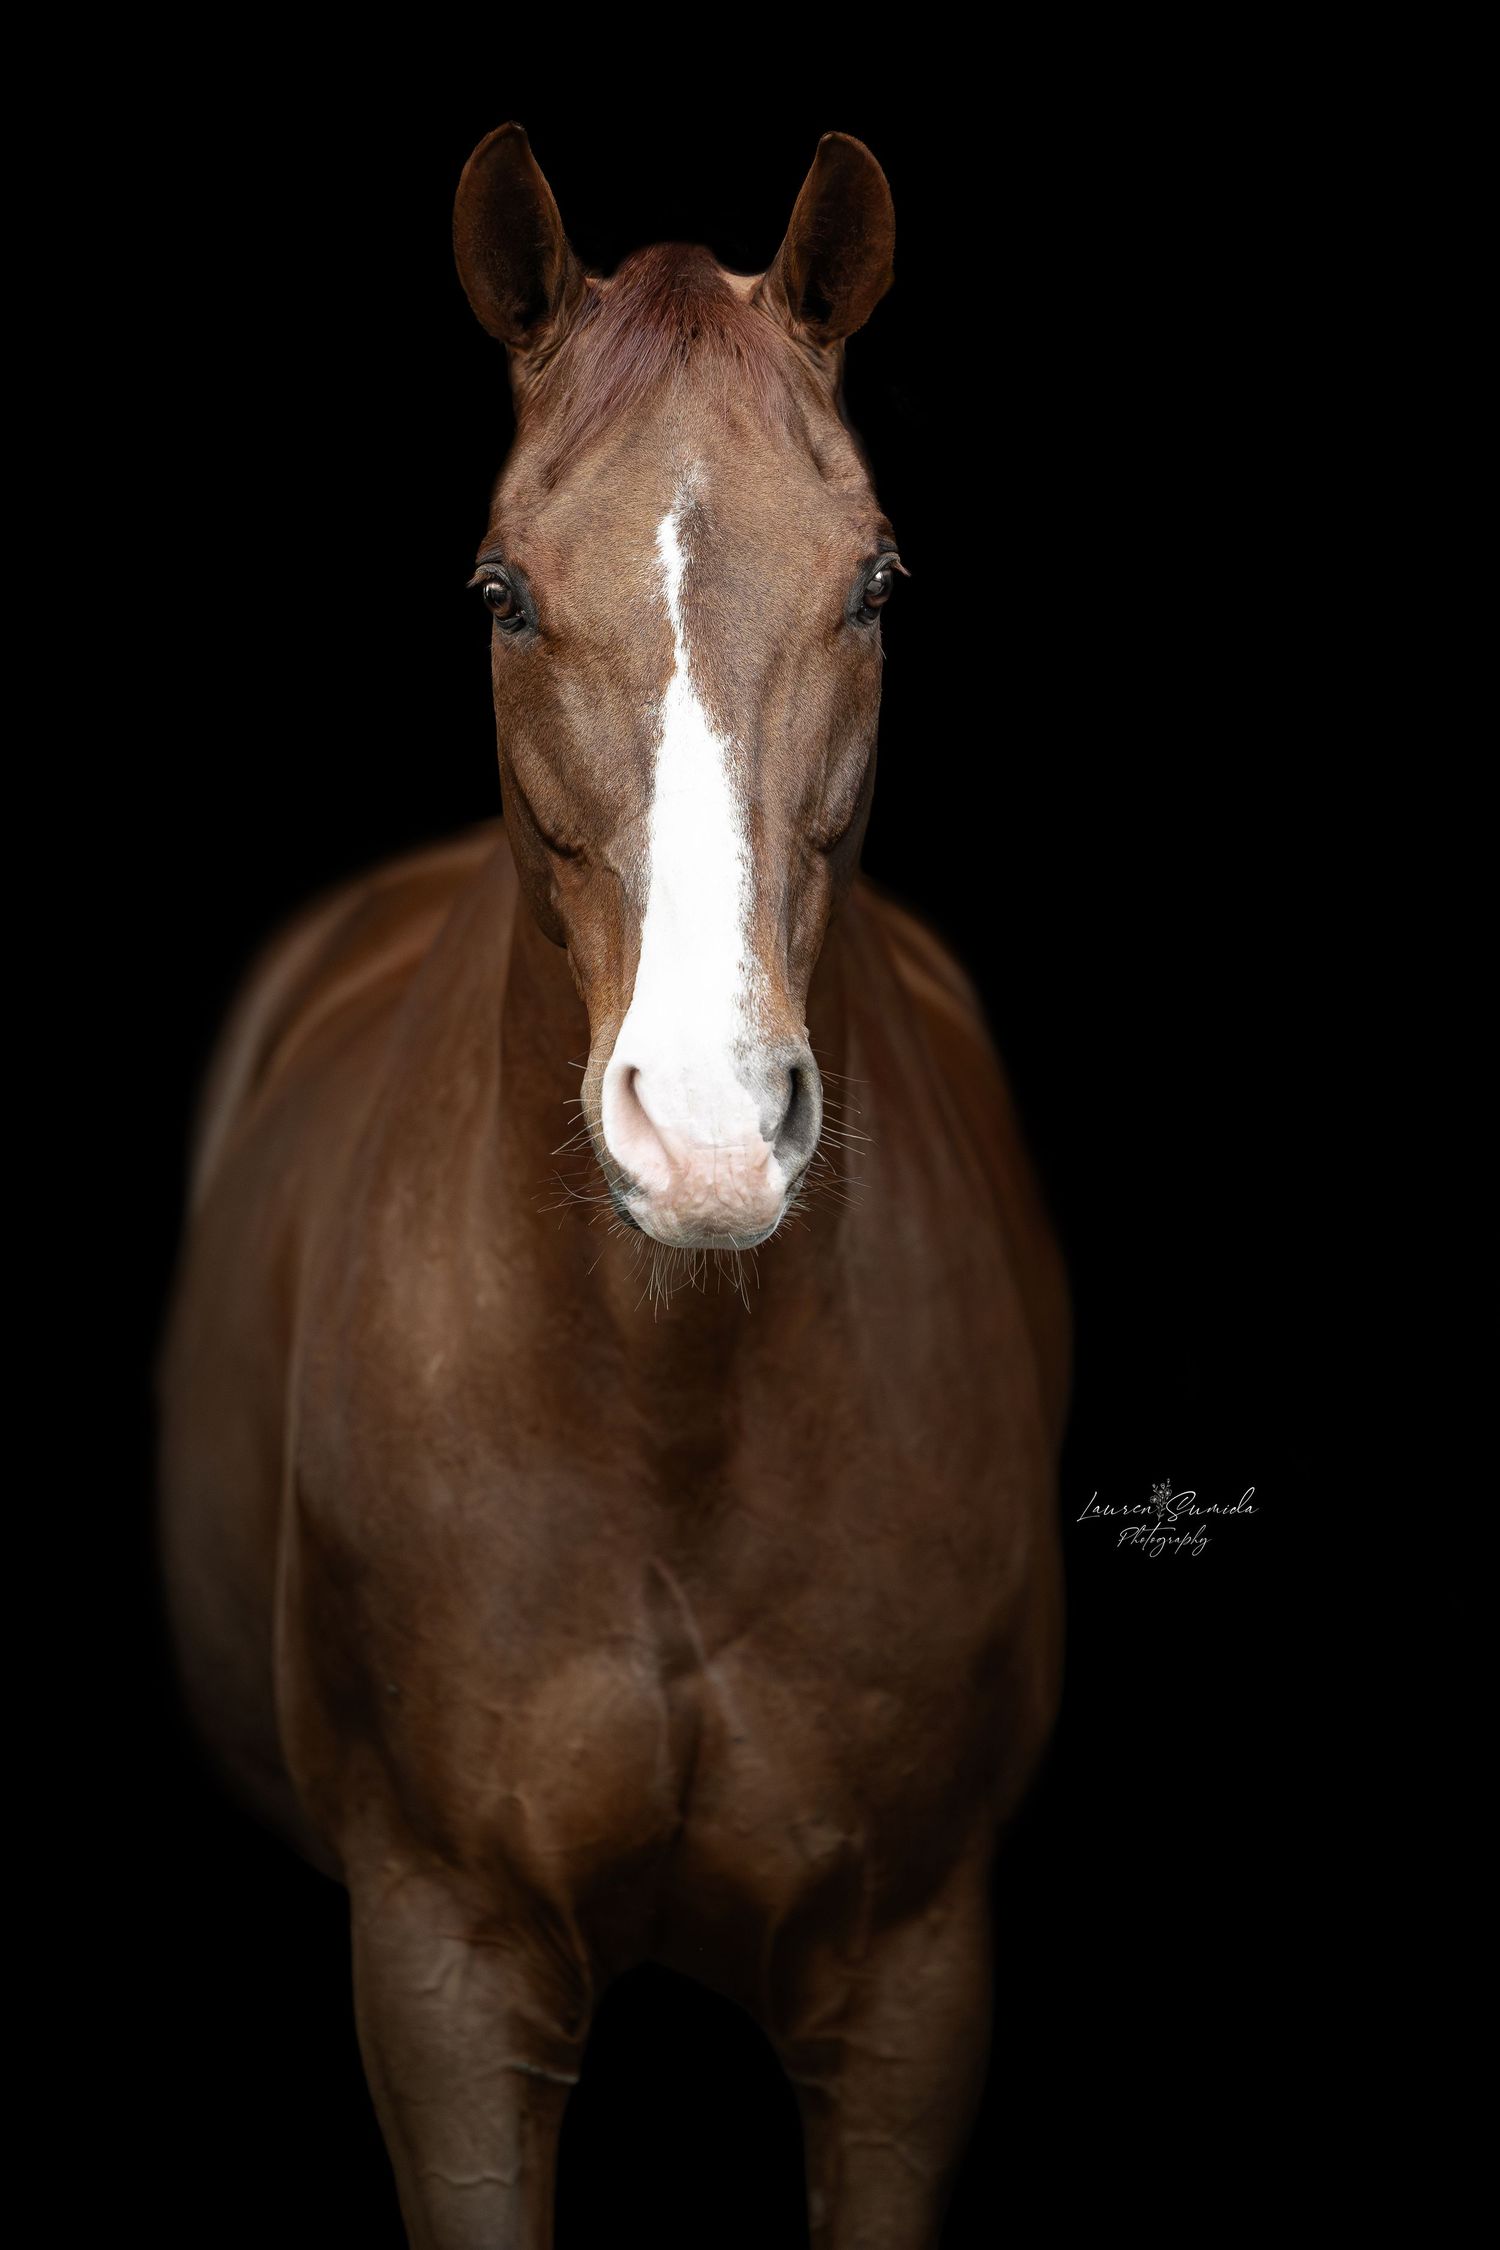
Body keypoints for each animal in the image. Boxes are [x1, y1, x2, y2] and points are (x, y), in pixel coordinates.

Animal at [157, 124, 1071, 2249]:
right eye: (501, 591)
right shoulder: (444, 1977)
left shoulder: (914, 1995)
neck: (673, 1424)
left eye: (876, 583)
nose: (709, 1127)